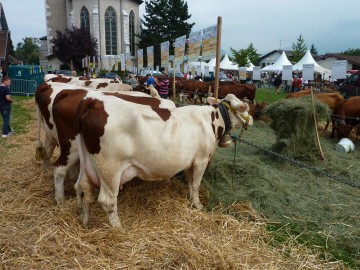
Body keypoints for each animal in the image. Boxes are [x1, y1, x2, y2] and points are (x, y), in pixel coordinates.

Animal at [73, 94, 253, 227]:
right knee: (108, 200)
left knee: (82, 188)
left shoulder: (189, 162)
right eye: (244, 108)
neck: (212, 120)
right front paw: (198, 205)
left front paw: (190, 199)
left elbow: (190, 182)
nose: (250, 118)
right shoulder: (201, 160)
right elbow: (196, 184)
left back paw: (85, 221)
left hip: (86, 162)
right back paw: (118, 228)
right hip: (109, 168)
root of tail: (93, 102)